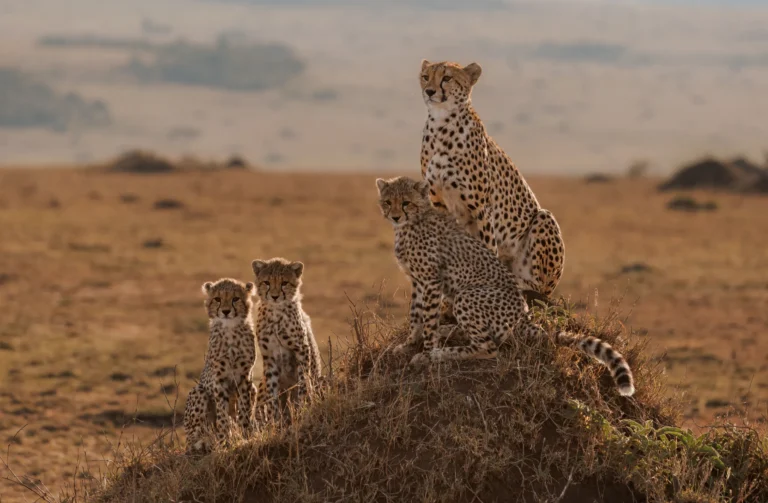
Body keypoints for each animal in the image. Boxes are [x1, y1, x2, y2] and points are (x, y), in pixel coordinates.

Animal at [184, 278, 259, 454]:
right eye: (217, 299)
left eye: (235, 299)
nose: (225, 311)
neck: (230, 329)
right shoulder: (219, 380)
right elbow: (223, 416)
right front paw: (225, 442)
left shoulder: (245, 378)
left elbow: (244, 410)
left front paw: (245, 437)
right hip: (199, 392)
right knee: (192, 437)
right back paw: (204, 442)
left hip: (253, 388)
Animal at [251, 257, 323, 422]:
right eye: (267, 282)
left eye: (284, 283)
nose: (275, 296)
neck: (276, 313)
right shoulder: (269, 356)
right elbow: (272, 391)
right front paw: (273, 419)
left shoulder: (301, 349)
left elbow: (303, 382)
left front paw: (302, 407)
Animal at [377, 176, 635, 397]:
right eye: (388, 202)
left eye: (406, 203)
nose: (396, 216)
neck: (412, 223)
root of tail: (523, 315)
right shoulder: (417, 280)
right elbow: (415, 315)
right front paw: (409, 343)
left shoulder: (430, 280)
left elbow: (428, 320)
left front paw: (427, 354)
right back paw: (447, 331)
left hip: (466, 296)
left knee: (489, 348)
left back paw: (442, 352)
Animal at [418, 59, 565, 306]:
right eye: (425, 76)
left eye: (447, 78)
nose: (429, 91)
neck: (441, 124)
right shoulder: (438, 202)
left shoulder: (480, 208)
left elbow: (487, 246)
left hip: (543, 220)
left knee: (539, 290)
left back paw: (520, 284)